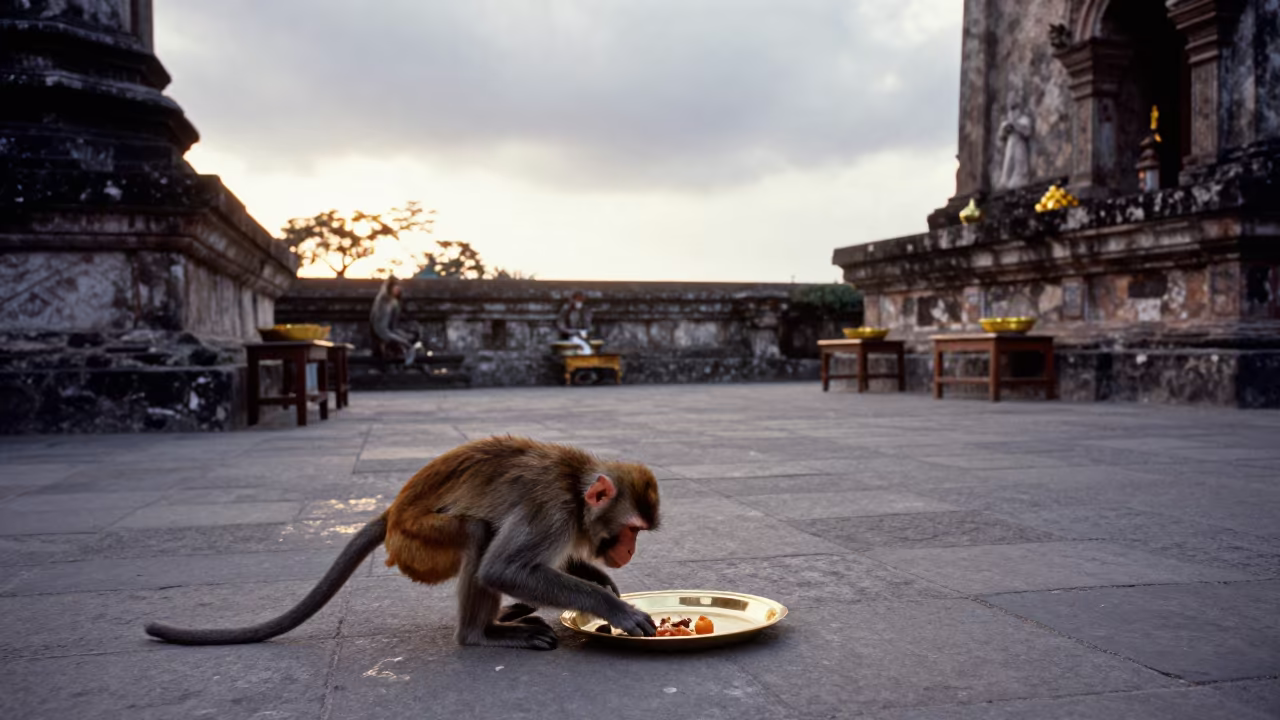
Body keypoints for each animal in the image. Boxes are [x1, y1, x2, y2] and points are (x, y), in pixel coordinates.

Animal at [144, 436, 660, 650]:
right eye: (632, 529)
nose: (629, 550)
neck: (574, 488)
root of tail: (391, 513)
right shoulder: (550, 509)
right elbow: (503, 568)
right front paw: (614, 608)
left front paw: (598, 580)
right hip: (419, 542)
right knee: (479, 535)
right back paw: (482, 634)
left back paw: (507, 616)